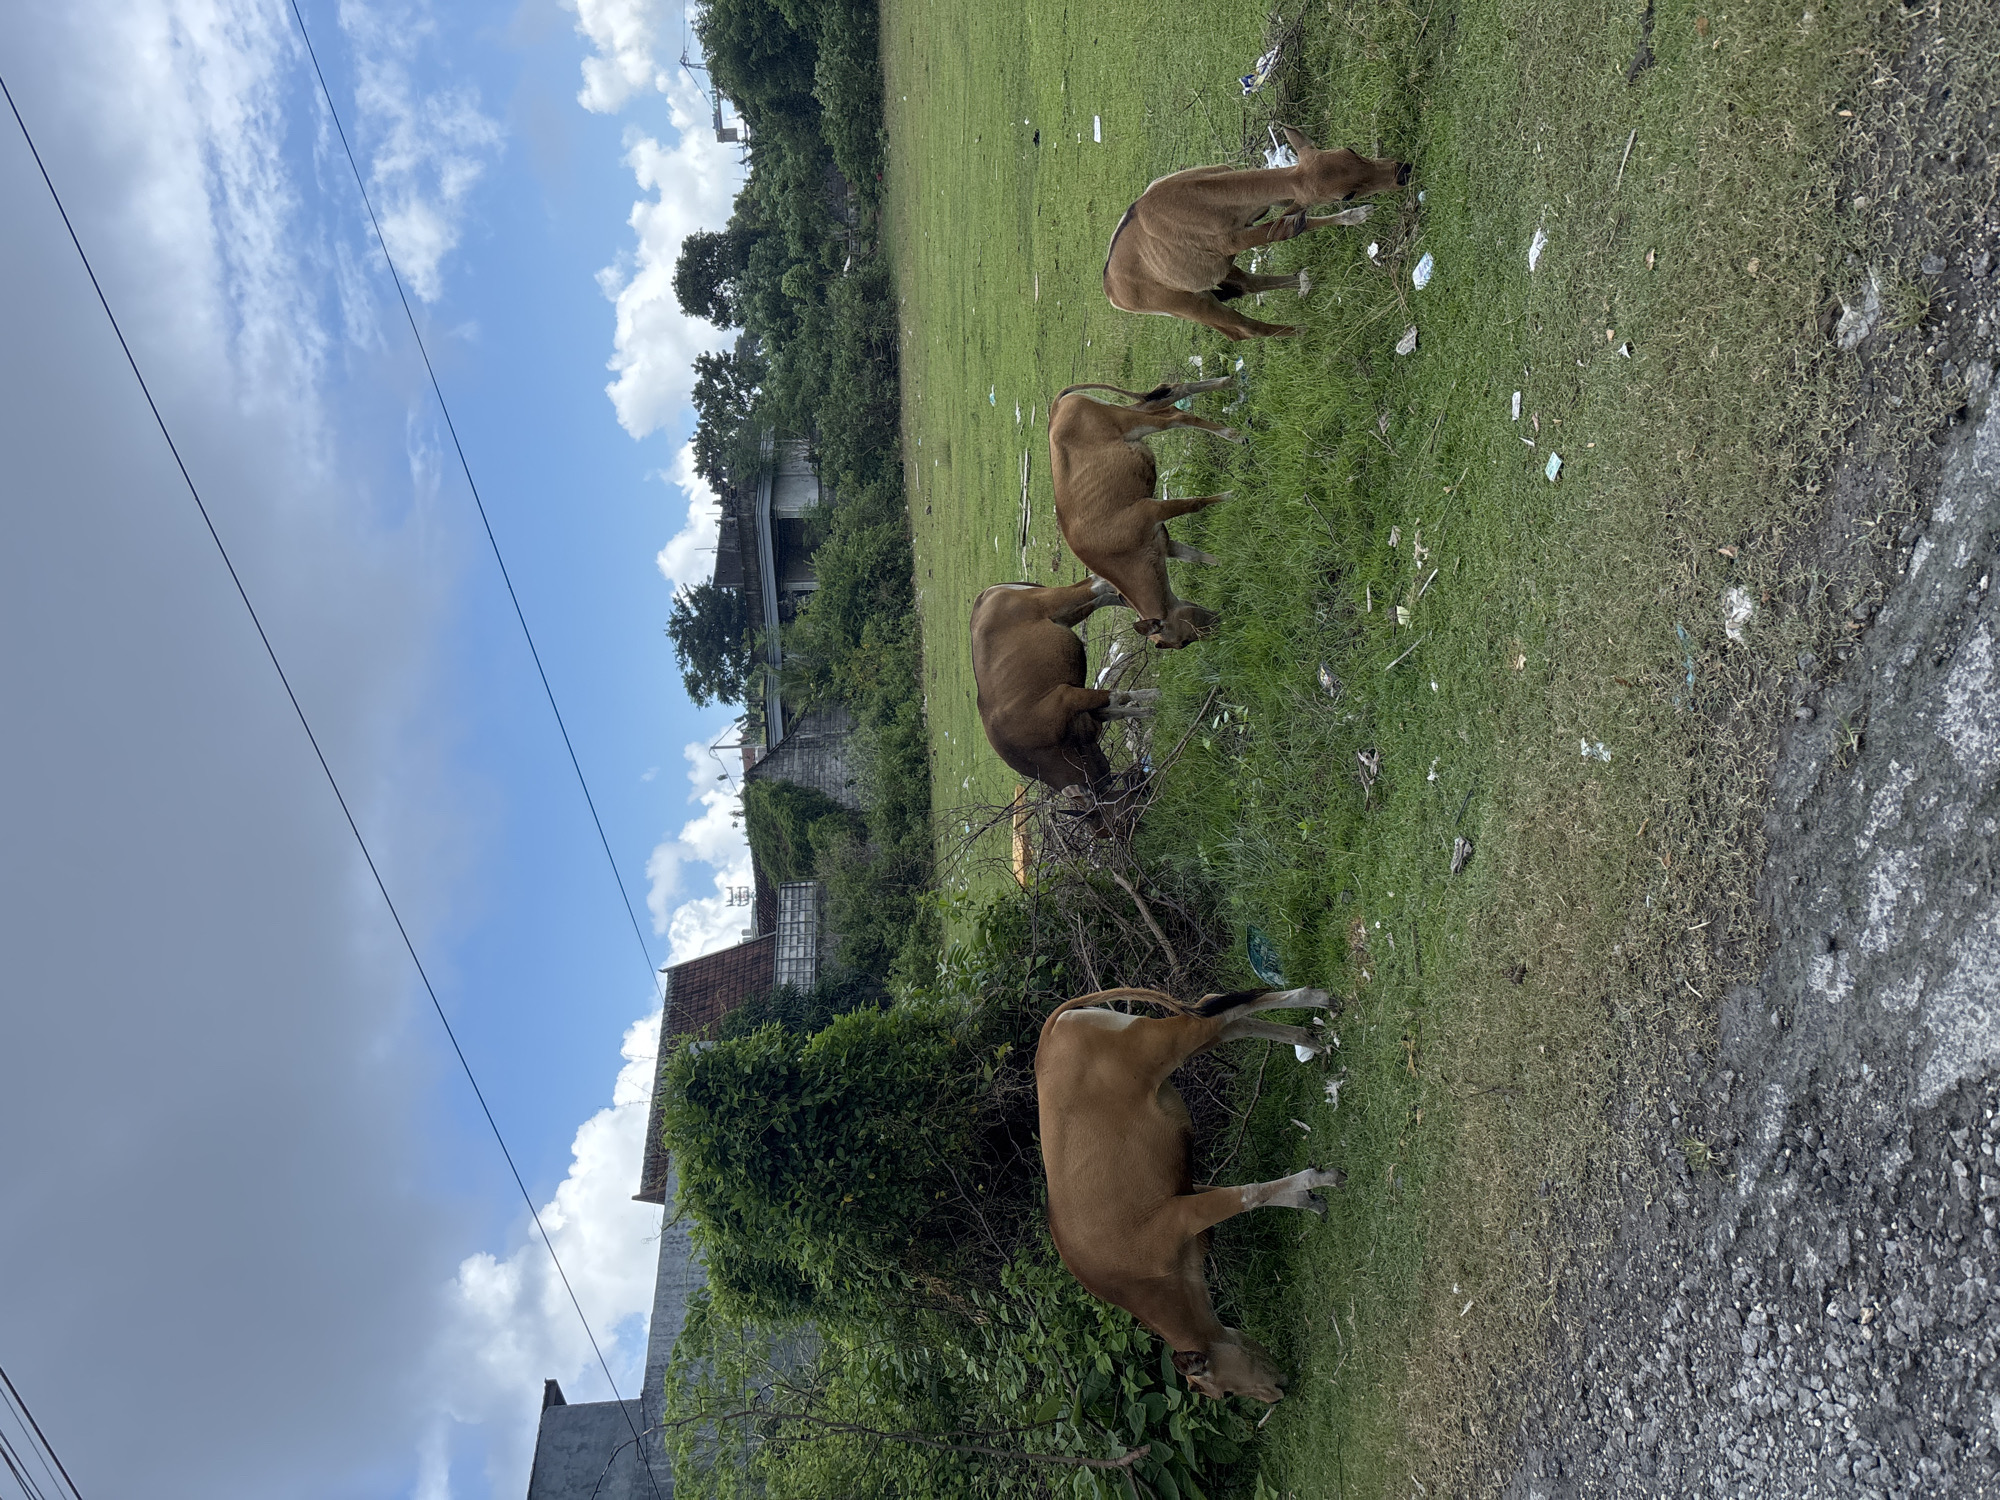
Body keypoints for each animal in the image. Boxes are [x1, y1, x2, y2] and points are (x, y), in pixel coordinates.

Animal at [971, 577, 1154, 836]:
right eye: (1110, 830)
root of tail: (985, 595)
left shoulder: (1069, 697)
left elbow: (1120, 695)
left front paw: (1160, 696)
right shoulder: (1090, 716)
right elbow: (1119, 707)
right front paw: (1151, 712)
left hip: (1055, 603)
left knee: (1096, 585)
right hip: (1068, 613)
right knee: (1101, 592)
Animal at [1036, 985, 1343, 1403]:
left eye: (1223, 1393)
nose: (1276, 1395)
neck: (1137, 1280)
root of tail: (1050, 1030)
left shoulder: (1181, 1216)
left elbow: (1247, 1196)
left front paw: (1321, 1179)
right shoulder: (1187, 1190)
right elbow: (1259, 1195)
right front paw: (1307, 1199)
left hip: (1162, 1045)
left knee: (1213, 1014)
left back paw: (1319, 999)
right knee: (1224, 1021)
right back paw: (1309, 1039)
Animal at [1048, 376, 1237, 650]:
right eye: (1185, 642)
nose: (1219, 623)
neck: (1115, 552)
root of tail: (1055, 410)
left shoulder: (1151, 509)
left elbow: (1195, 504)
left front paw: (1232, 495)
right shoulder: (1162, 542)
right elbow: (1197, 556)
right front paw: (1226, 564)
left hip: (1126, 420)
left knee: (1173, 416)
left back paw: (1235, 434)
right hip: (1130, 416)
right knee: (1167, 397)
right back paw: (1225, 383)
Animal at [1103, 126, 1410, 340]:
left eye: (1351, 150)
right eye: (1347, 195)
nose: (1402, 171)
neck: (1201, 198)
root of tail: (1112, 290)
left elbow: (1296, 219)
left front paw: (1357, 216)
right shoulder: (1236, 240)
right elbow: (1291, 229)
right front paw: (1356, 214)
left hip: (1216, 273)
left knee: (1250, 283)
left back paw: (1301, 281)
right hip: (1193, 303)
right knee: (1241, 330)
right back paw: (1298, 330)